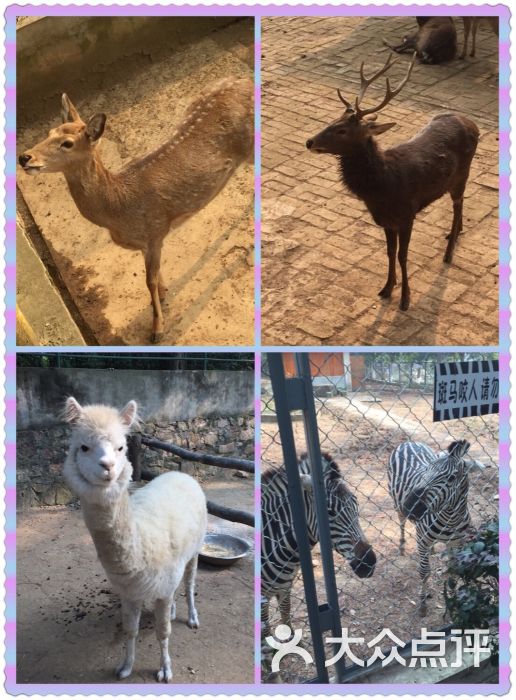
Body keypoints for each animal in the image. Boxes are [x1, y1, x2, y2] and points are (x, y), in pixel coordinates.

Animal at [18, 78, 254, 344]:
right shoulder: (148, 242)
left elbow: (148, 281)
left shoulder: (154, 232)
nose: (24, 157)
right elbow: (155, 276)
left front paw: (157, 329)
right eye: (49, 133)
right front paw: (163, 293)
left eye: (67, 143)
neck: (119, 208)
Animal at [262, 452, 374, 636]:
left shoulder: (285, 587)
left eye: (356, 504)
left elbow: (286, 614)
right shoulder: (262, 597)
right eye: (330, 512)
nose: (370, 562)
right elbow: (265, 629)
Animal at [306, 56, 480, 314]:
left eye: (342, 129)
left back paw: (449, 252)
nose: (309, 141)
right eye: (332, 120)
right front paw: (387, 288)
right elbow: (389, 253)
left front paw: (405, 299)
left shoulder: (407, 215)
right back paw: (455, 233)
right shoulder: (385, 220)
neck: (383, 188)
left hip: (462, 175)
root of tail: (472, 124)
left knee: (457, 205)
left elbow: (402, 256)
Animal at [390, 440, 486, 616]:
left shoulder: (457, 544)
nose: (409, 507)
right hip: (396, 502)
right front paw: (422, 604)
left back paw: (433, 549)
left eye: (451, 477)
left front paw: (453, 604)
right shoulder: (421, 541)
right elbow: (424, 572)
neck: (450, 519)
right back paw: (401, 545)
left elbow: (454, 573)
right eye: (426, 471)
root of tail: (409, 442)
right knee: (401, 522)